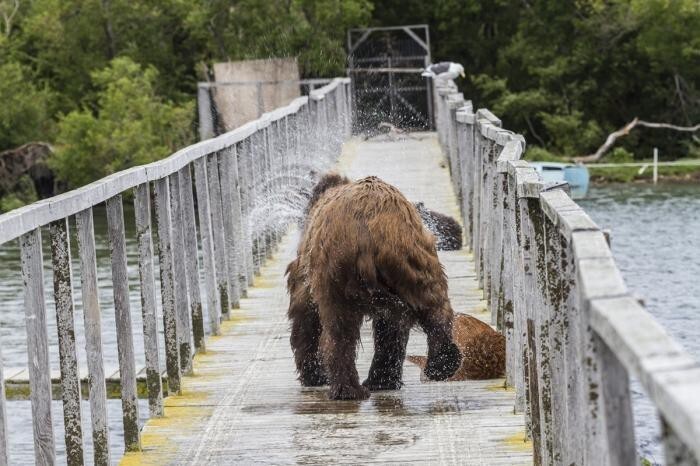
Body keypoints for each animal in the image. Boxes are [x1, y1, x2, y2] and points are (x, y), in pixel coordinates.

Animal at [288, 173, 462, 398]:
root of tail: (366, 229)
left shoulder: (307, 268)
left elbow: (304, 311)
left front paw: (314, 374)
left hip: (342, 270)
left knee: (341, 329)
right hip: (411, 258)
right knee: (430, 306)